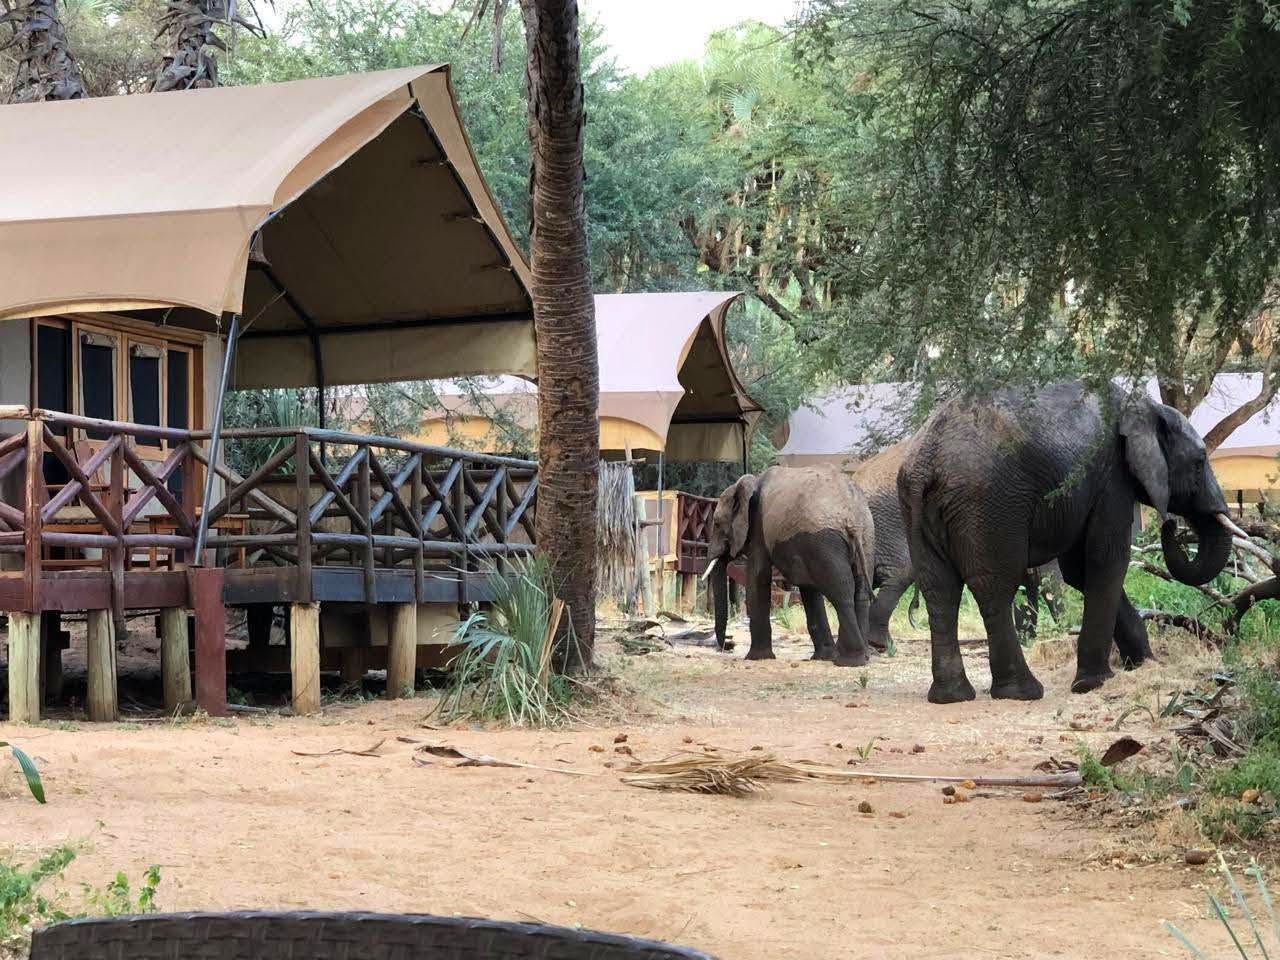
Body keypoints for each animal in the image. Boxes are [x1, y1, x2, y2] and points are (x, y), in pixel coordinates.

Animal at [706, 466, 876, 666]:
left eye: (717, 524)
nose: (728, 645)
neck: (750, 482)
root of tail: (853, 518)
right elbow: (809, 588)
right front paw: (822, 657)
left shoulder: (758, 529)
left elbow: (758, 578)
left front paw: (756, 658)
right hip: (867, 538)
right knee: (860, 593)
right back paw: (861, 657)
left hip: (825, 541)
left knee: (842, 594)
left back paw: (849, 661)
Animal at [898, 381, 1237, 703]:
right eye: (1199, 461)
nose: (1170, 525)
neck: (1144, 405)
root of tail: (927, 460)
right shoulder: (1111, 477)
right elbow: (1107, 559)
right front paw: (1094, 684)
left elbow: (1078, 571)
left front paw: (1144, 665)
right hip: (990, 503)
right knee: (995, 586)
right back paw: (1023, 692)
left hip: (917, 508)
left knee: (939, 589)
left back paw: (951, 697)